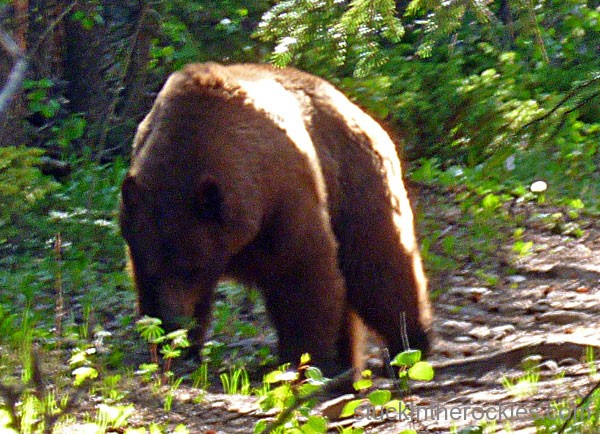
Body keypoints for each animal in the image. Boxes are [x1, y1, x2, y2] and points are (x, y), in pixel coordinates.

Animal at [120, 62, 432, 376]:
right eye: (153, 268)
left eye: (191, 267)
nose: (173, 322)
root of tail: (354, 107)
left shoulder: (282, 197)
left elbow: (303, 273)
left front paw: (306, 358)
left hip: (354, 181)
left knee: (379, 265)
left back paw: (409, 343)